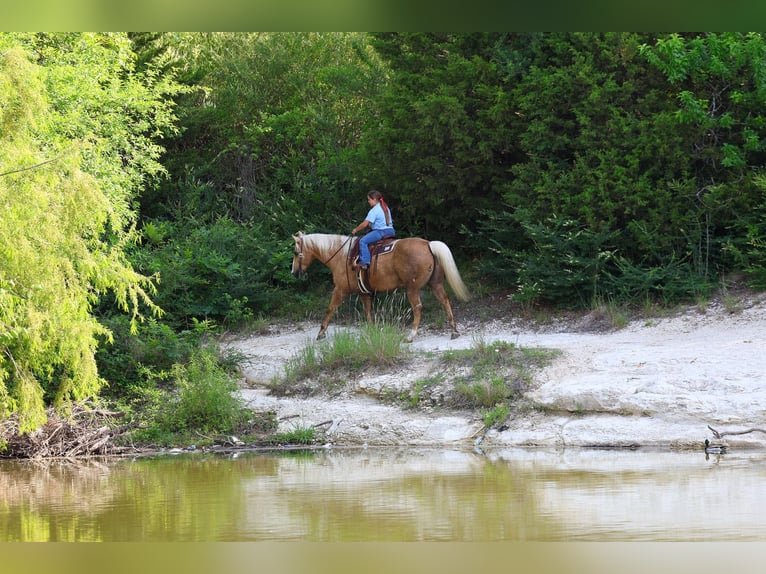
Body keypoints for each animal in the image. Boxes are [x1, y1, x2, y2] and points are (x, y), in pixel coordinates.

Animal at [291, 231, 470, 341]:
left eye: (295, 252)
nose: (294, 272)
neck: (341, 256)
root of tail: (428, 244)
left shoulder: (340, 290)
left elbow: (330, 309)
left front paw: (321, 332)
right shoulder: (363, 293)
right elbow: (368, 312)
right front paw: (372, 330)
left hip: (412, 288)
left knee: (417, 307)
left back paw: (411, 335)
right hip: (435, 284)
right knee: (445, 301)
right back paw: (454, 330)